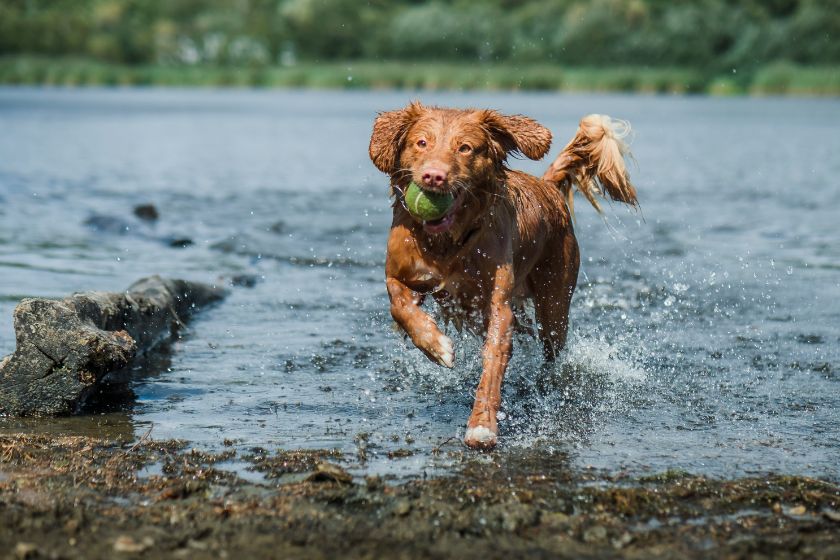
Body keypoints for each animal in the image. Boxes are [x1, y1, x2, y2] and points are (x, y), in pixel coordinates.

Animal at [368, 101, 636, 450]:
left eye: (465, 148)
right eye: (421, 143)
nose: (434, 177)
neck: (448, 243)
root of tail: (548, 185)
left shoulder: (499, 305)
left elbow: (493, 363)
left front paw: (482, 426)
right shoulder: (399, 275)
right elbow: (400, 307)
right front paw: (436, 345)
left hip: (555, 302)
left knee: (552, 349)